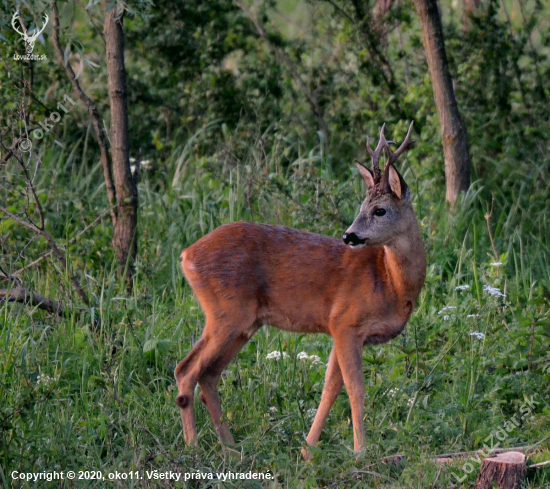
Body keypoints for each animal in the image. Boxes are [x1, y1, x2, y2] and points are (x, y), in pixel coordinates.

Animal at [176, 121, 426, 454]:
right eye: (362, 206)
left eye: (380, 210)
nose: (349, 236)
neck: (392, 283)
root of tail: (187, 255)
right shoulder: (345, 322)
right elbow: (355, 389)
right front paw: (360, 452)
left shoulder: (342, 330)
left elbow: (330, 388)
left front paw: (308, 448)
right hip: (226, 313)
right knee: (186, 370)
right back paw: (193, 446)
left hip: (244, 324)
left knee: (209, 375)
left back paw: (231, 448)